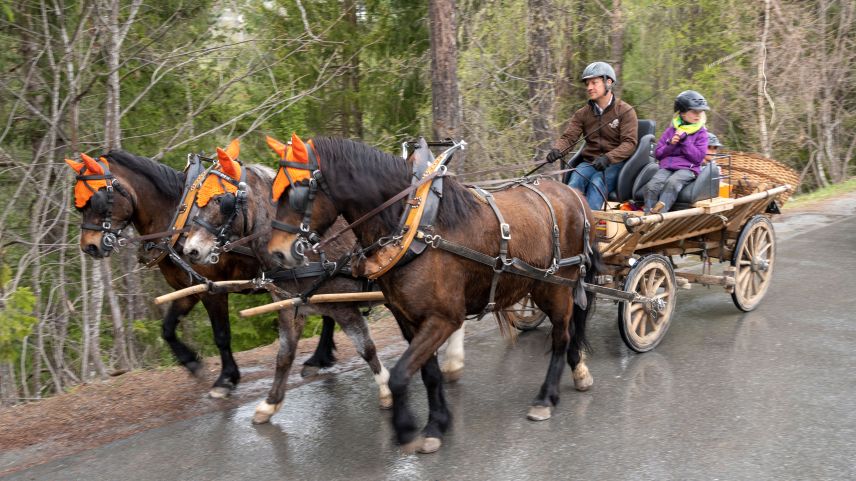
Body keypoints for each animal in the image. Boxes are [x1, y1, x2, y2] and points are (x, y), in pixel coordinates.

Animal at [65, 149, 366, 398]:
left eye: (96, 200)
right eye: (78, 204)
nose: (89, 246)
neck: (178, 220)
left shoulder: (213, 289)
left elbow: (221, 334)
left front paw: (226, 379)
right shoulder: (189, 288)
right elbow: (167, 329)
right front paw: (192, 363)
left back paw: (319, 357)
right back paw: (321, 356)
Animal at [182, 145, 392, 420]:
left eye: (221, 200)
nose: (191, 250)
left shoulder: (343, 307)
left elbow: (366, 348)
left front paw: (386, 389)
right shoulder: (290, 307)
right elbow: (284, 355)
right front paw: (270, 403)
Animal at [270, 137, 600, 452]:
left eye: (297, 191)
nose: (277, 253)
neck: (415, 227)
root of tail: (574, 194)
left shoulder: (444, 318)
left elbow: (401, 374)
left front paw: (406, 428)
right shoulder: (408, 318)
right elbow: (428, 373)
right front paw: (438, 422)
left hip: (555, 286)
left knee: (561, 335)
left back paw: (546, 397)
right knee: (570, 327)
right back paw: (577, 369)